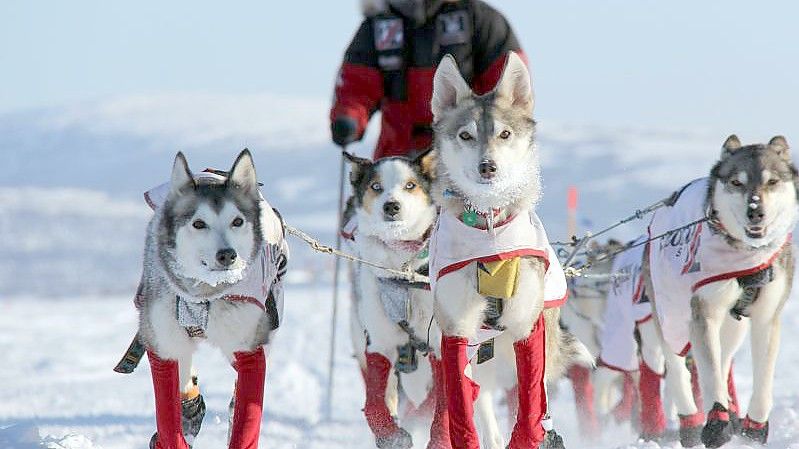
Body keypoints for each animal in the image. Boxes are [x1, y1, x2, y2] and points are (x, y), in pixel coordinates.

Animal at [125, 150, 288, 448]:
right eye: (199, 224)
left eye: (237, 221)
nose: (227, 254)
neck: (204, 295)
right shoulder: (162, 345)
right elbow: (168, 414)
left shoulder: (249, 348)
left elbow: (248, 408)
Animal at [428, 52, 592, 448]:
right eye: (466, 135)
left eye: (504, 134)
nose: (488, 166)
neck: (488, 229)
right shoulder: (456, 332)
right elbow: (462, 410)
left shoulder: (525, 330)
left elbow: (530, 408)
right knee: (479, 401)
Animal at [644, 135, 799, 446]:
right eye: (737, 182)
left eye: (772, 181)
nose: (755, 211)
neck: (746, 255)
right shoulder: (704, 314)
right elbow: (710, 374)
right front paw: (716, 423)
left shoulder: (767, 318)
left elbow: (763, 378)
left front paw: (754, 428)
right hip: (669, 317)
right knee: (679, 369)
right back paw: (692, 423)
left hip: (734, 328)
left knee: (724, 359)